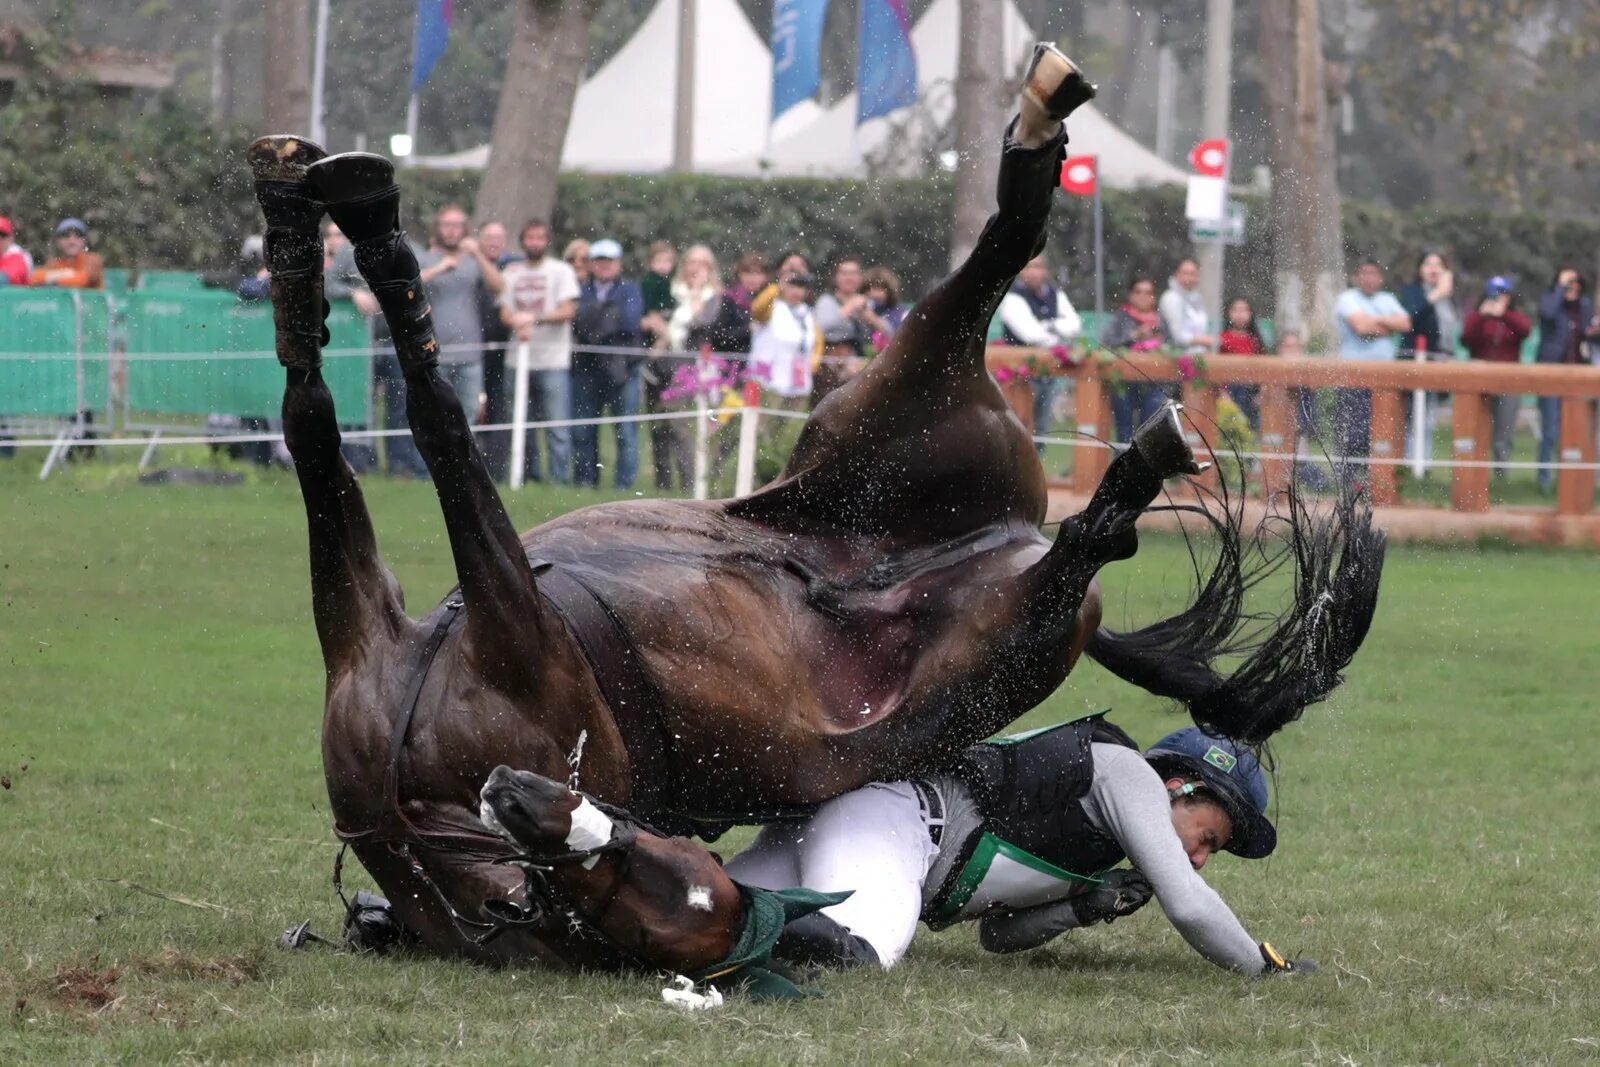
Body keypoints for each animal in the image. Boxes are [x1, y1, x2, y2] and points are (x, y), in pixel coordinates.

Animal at [246, 49, 1376, 979]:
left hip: (952, 537)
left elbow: (411, 427)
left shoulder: (523, 648)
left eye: (674, 888)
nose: (527, 806)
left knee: (343, 418)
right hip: (923, 469)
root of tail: (995, 542)